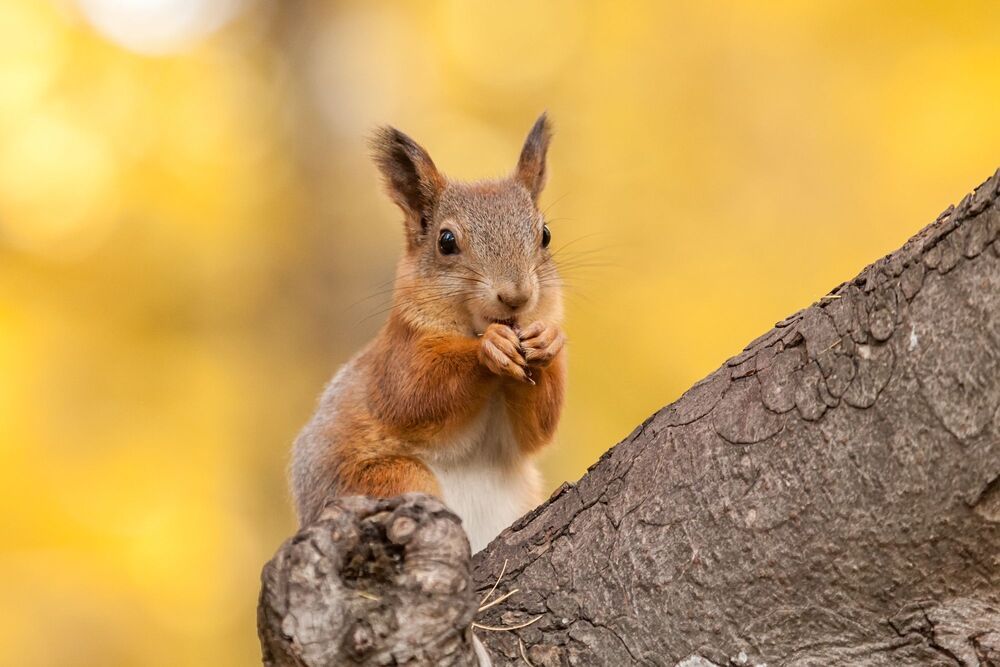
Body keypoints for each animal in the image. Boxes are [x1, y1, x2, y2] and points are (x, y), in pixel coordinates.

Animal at [291, 114, 566, 552]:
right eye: (446, 241)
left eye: (545, 235)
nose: (516, 296)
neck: (472, 326)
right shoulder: (395, 358)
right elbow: (416, 393)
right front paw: (488, 349)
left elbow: (537, 429)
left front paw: (549, 341)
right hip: (388, 479)